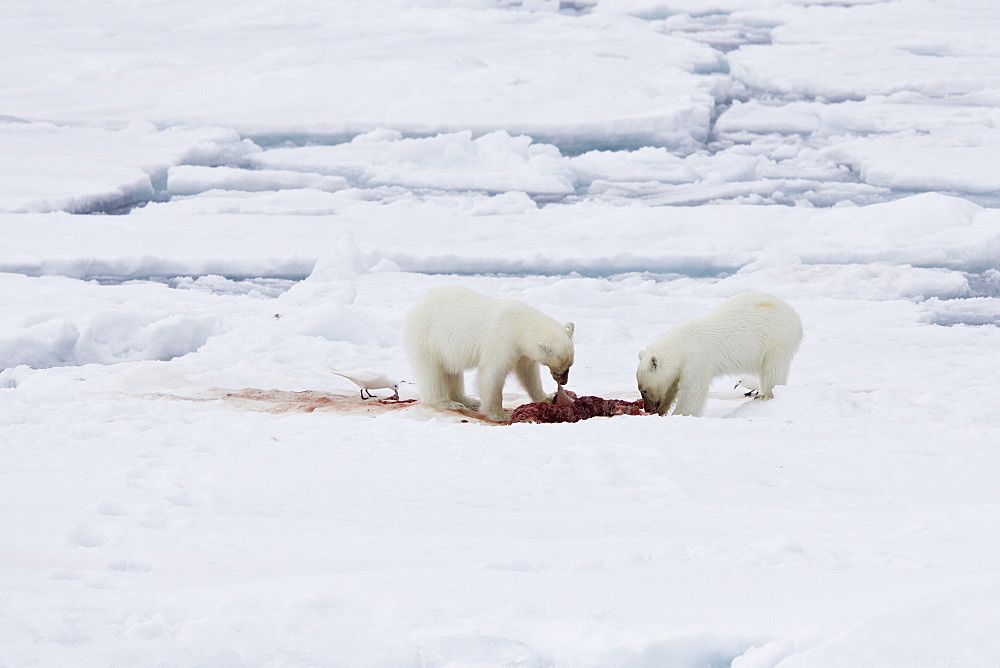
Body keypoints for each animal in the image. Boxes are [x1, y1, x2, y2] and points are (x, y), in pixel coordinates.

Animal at [404, 288, 576, 422]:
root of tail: (416, 306)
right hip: (427, 339)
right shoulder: (502, 341)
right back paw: (446, 402)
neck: (520, 324)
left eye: (569, 366)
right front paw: (501, 414)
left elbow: (528, 373)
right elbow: (492, 374)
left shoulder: (521, 351)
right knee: (431, 373)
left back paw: (468, 401)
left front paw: (547, 398)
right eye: (560, 369)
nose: (564, 382)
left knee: (453, 372)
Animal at [640, 292, 804, 418]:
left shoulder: (697, 358)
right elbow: (672, 386)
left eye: (645, 390)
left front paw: (679, 414)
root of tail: (795, 315)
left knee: (774, 367)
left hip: (776, 338)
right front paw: (662, 410)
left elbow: (693, 390)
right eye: (640, 389)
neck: (681, 344)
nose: (647, 408)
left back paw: (766, 395)